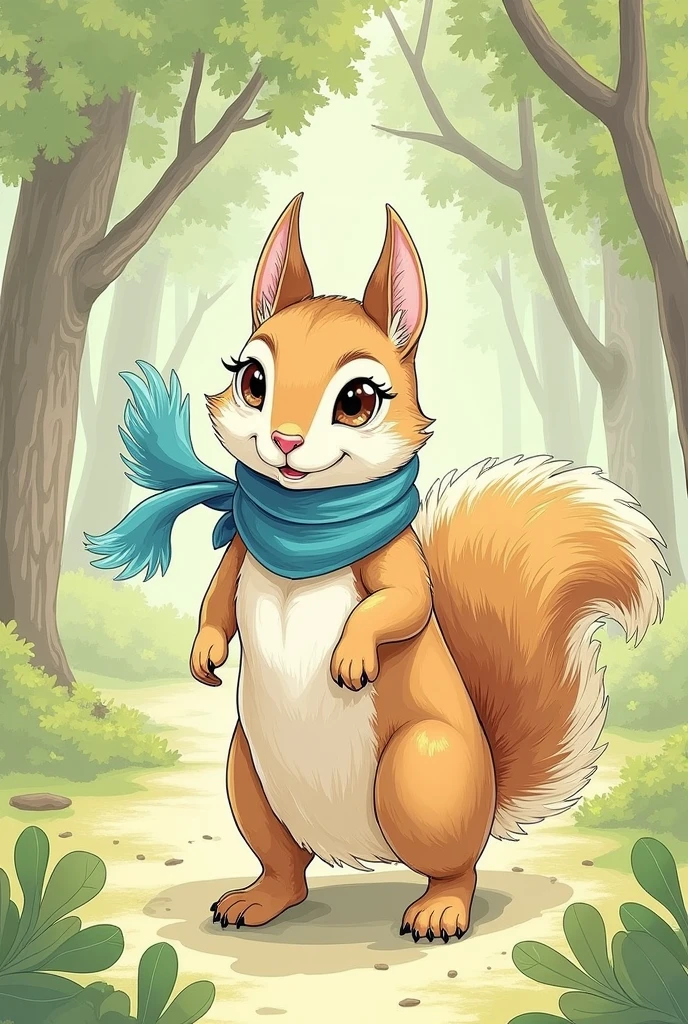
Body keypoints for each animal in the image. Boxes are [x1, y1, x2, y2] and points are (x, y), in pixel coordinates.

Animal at [179, 193, 664, 943]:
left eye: (356, 400)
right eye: (251, 379)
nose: (284, 440)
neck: (304, 522)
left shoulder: (396, 559)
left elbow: (403, 603)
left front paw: (352, 654)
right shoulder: (241, 547)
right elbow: (217, 598)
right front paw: (204, 653)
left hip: (424, 773)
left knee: (456, 867)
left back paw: (439, 911)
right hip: (249, 775)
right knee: (286, 865)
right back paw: (258, 900)